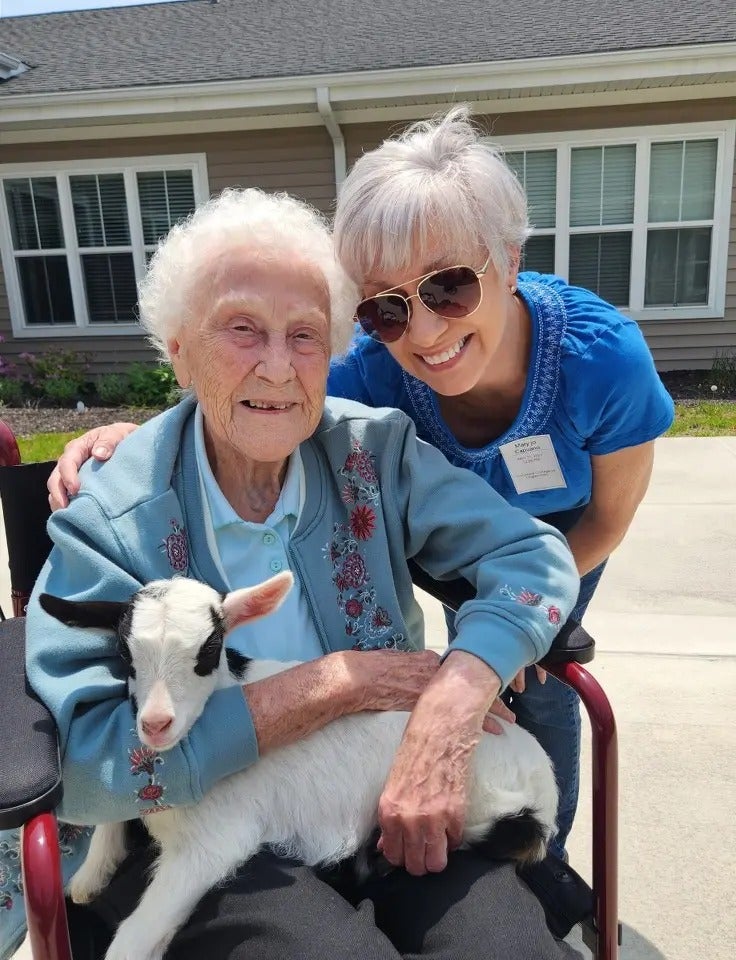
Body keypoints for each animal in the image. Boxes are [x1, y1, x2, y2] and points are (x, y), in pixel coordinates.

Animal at [40, 573, 558, 960]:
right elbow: (112, 810)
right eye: (124, 654)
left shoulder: (213, 844)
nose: (155, 724)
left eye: (208, 650)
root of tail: (544, 782)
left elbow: (133, 940)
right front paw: (88, 878)